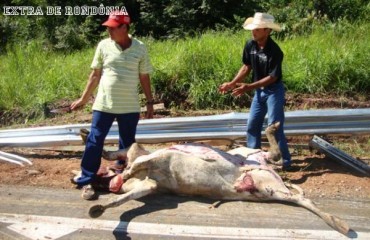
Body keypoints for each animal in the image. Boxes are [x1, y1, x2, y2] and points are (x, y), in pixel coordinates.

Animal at [81, 123, 350, 235]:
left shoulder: (151, 156)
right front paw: (99, 207)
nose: (80, 183)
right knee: (297, 193)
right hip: (266, 187)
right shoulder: (151, 184)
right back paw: (340, 224)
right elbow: (122, 197)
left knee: (279, 164)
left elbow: (129, 152)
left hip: (252, 160)